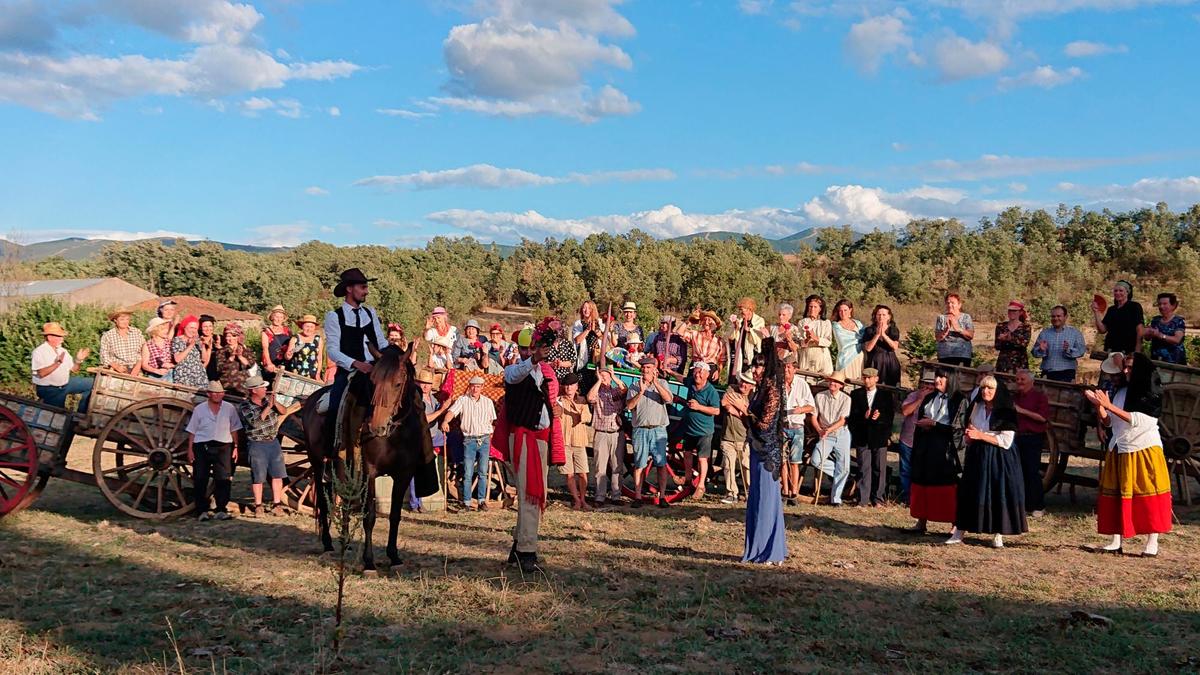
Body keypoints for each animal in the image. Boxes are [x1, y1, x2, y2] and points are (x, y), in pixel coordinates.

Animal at [300, 341, 436, 566]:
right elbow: (369, 516)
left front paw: (394, 555)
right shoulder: (369, 471)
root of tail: (310, 400)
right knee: (324, 501)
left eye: (398, 383)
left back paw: (345, 541)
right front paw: (369, 561)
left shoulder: (404, 474)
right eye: (373, 382)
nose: (376, 426)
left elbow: (395, 515)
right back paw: (329, 544)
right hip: (318, 463)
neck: (393, 434)